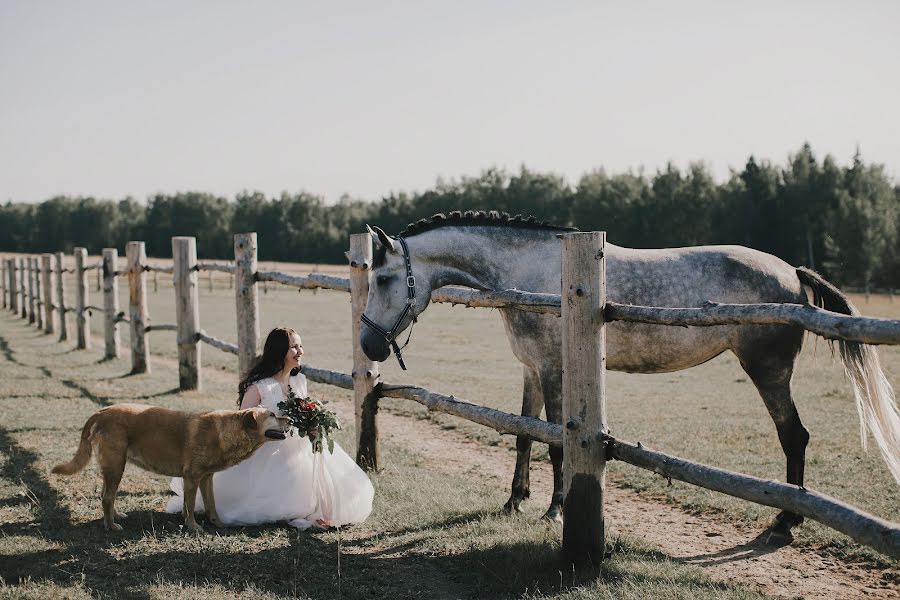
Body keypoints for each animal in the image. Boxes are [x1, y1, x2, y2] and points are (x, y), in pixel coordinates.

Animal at [52, 406, 290, 532]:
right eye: (271, 415)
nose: (289, 418)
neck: (228, 432)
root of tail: (101, 412)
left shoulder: (206, 478)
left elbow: (211, 504)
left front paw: (218, 524)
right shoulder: (192, 477)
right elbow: (190, 505)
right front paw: (193, 527)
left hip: (112, 467)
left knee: (106, 495)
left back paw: (117, 516)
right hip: (116, 465)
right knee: (107, 496)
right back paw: (111, 526)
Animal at [360, 210, 900, 536]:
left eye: (384, 279)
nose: (368, 344)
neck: (534, 274)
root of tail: (791, 271)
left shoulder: (553, 372)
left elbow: (555, 444)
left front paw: (554, 509)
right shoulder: (532, 371)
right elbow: (523, 434)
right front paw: (515, 501)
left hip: (768, 373)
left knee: (794, 436)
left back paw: (786, 521)